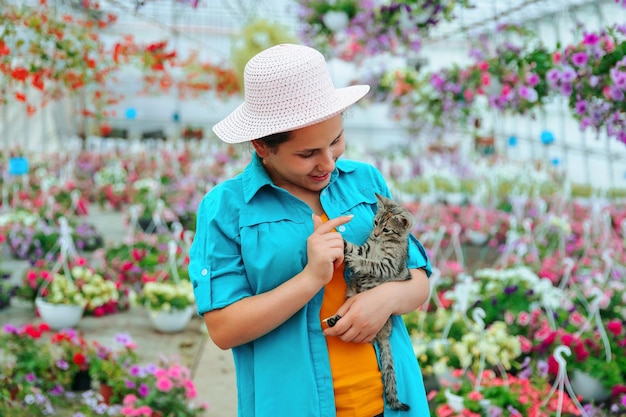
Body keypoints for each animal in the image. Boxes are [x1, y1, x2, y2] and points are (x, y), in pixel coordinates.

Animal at [338, 193, 412, 412]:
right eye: (376, 222)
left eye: (387, 229)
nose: (376, 234)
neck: (381, 244)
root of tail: (385, 335)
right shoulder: (366, 248)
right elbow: (354, 248)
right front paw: (339, 242)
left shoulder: (388, 265)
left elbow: (371, 264)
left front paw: (356, 262)